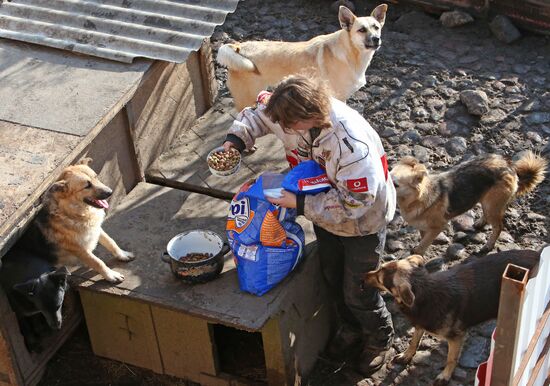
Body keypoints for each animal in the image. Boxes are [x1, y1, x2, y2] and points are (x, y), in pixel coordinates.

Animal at [216, 4, 388, 111]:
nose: (376, 39)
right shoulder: (338, 97)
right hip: (246, 97)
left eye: (376, 28)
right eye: (361, 30)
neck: (351, 52)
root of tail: (238, 47)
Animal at [364, 250, 540, 386]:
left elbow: (451, 359)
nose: (364, 276)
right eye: (380, 267)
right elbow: (414, 341)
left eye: (380, 279)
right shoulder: (421, 323)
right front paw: (406, 355)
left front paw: (445, 376)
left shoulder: (456, 337)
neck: (425, 291)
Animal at [392, 152, 548, 256]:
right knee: (488, 217)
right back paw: (480, 223)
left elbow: (423, 244)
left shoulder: (438, 226)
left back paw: (487, 246)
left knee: (498, 227)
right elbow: (423, 238)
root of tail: (509, 166)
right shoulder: (423, 227)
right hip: (487, 203)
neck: (418, 198)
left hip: (492, 205)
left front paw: (416, 255)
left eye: (396, 184)